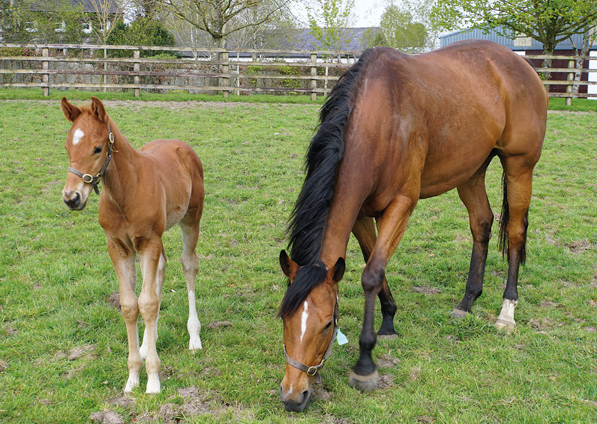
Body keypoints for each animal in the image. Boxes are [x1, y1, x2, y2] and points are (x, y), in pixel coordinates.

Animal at [60, 97, 205, 394]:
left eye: (98, 148)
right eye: (68, 147)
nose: (71, 198)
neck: (125, 193)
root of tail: (179, 144)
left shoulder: (149, 241)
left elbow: (147, 303)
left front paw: (153, 382)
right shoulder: (119, 247)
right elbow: (130, 305)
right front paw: (133, 377)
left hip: (190, 219)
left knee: (188, 265)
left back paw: (193, 337)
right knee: (161, 270)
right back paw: (149, 341)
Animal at [278, 39, 548, 410]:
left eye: (328, 324)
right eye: (284, 319)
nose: (293, 395)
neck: (380, 120)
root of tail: (521, 66)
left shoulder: (401, 205)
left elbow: (371, 273)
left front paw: (365, 365)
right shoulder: (360, 212)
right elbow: (372, 263)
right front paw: (389, 320)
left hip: (520, 166)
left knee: (516, 231)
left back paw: (507, 312)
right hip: (471, 169)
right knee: (481, 224)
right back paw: (467, 302)